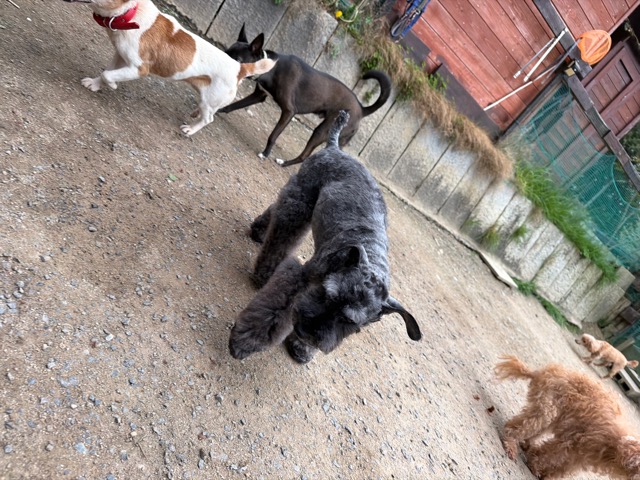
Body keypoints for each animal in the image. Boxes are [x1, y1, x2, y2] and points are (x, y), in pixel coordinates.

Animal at [62, 0, 276, 136]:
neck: (131, 12)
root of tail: (240, 67)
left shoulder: (138, 69)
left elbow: (108, 75)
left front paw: (112, 85)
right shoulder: (119, 56)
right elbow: (104, 72)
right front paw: (94, 84)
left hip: (210, 99)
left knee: (209, 119)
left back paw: (191, 129)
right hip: (209, 98)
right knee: (209, 111)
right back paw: (195, 114)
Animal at [220, 25, 392, 167]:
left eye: (238, 59)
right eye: (226, 53)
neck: (270, 68)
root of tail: (362, 109)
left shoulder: (289, 112)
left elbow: (273, 135)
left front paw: (265, 153)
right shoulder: (259, 95)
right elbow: (232, 105)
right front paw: (219, 111)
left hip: (322, 131)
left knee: (305, 155)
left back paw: (285, 163)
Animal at [233, 110, 420, 363]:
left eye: (349, 321)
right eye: (328, 296)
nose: (307, 331)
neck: (371, 257)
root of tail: (335, 147)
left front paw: (302, 347)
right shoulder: (301, 279)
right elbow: (275, 312)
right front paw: (246, 342)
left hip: (301, 202)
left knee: (276, 213)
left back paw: (259, 232)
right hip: (300, 202)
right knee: (282, 235)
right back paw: (263, 272)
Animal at [495, 355, 640, 479]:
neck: (616, 448)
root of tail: (542, 372)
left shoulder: (580, 458)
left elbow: (564, 470)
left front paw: (548, 475)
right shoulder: (571, 445)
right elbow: (549, 455)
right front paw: (535, 466)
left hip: (552, 415)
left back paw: (526, 444)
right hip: (547, 410)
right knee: (517, 428)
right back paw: (511, 444)